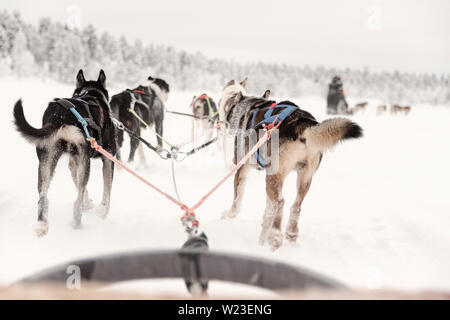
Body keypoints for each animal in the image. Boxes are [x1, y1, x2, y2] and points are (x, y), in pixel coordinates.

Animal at [13, 70, 117, 235]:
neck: (92, 94)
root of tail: (59, 116)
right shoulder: (108, 157)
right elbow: (107, 189)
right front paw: (103, 211)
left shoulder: (73, 163)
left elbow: (82, 187)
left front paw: (89, 204)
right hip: (84, 161)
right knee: (77, 201)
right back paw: (77, 224)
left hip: (46, 163)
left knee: (43, 197)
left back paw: (42, 225)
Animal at [220, 79, 364, 250]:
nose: (223, 121)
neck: (250, 108)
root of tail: (303, 126)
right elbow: (268, 210)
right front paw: (263, 235)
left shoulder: (241, 168)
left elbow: (237, 200)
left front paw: (229, 214)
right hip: (304, 178)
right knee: (295, 206)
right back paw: (289, 233)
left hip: (273, 176)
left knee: (280, 202)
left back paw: (275, 236)